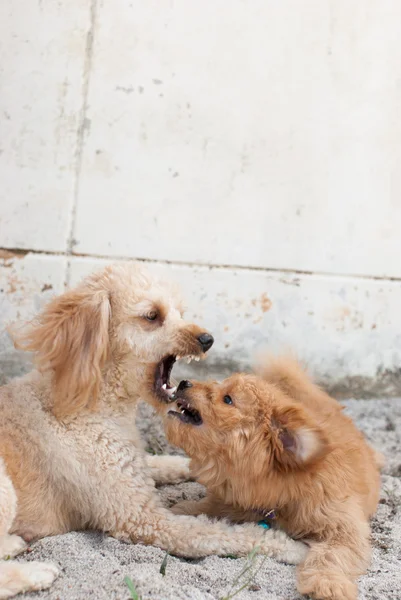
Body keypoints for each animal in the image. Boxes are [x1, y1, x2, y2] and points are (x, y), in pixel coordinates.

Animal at [0, 266, 304, 600]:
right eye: (152, 315)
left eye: (180, 312)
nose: (207, 339)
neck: (95, 404)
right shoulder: (144, 519)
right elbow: (219, 532)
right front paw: (291, 548)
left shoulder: (133, 467)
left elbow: (164, 463)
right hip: (5, 487)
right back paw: (35, 571)